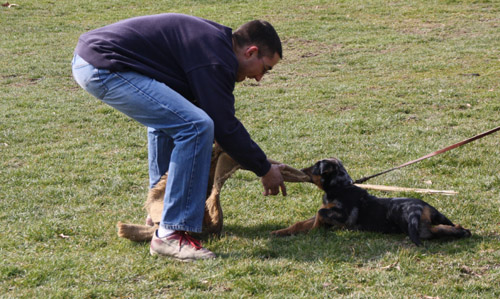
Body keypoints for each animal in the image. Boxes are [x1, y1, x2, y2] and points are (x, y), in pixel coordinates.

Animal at [272, 158, 470, 247]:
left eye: (314, 167)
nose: (301, 169)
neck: (340, 187)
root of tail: (419, 208)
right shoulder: (326, 211)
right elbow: (301, 223)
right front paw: (280, 232)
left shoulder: (341, 216)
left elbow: (319, 216)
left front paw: (314, 231)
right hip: (437, 215)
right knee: (445, 225)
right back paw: (462, 230)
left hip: (412, 224)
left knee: (435, 231)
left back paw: (460, 232)